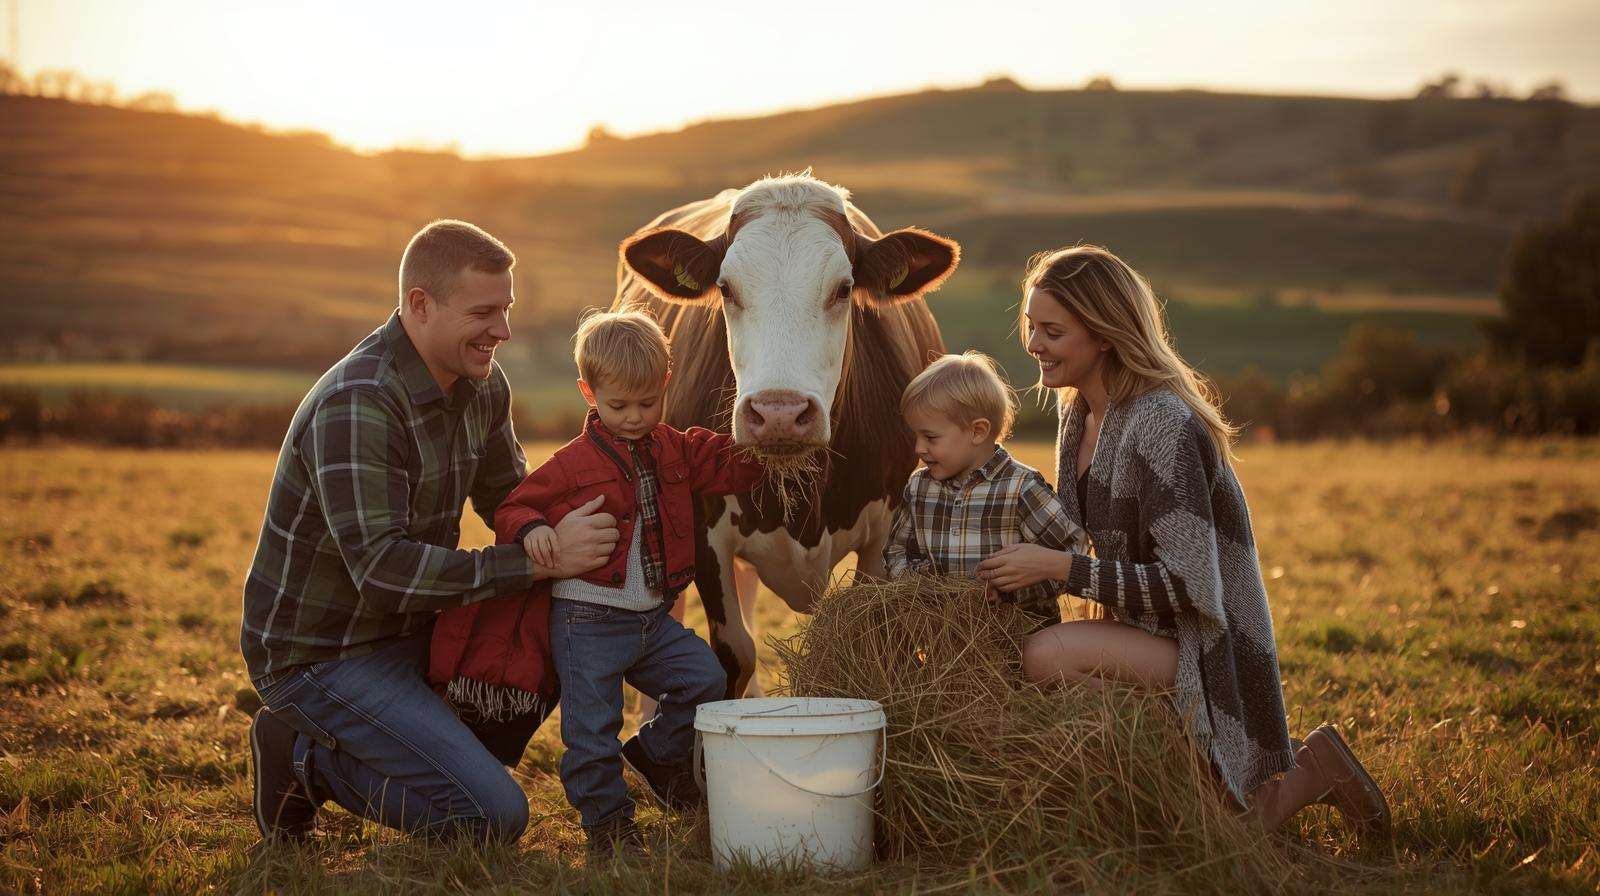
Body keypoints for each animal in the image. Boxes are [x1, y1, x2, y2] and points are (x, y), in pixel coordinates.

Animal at [611, 173, 958, 699]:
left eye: (844, 288)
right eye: (726, 288)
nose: (779, 413)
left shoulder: (888, 528)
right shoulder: (702, 524)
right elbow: (734, 652)